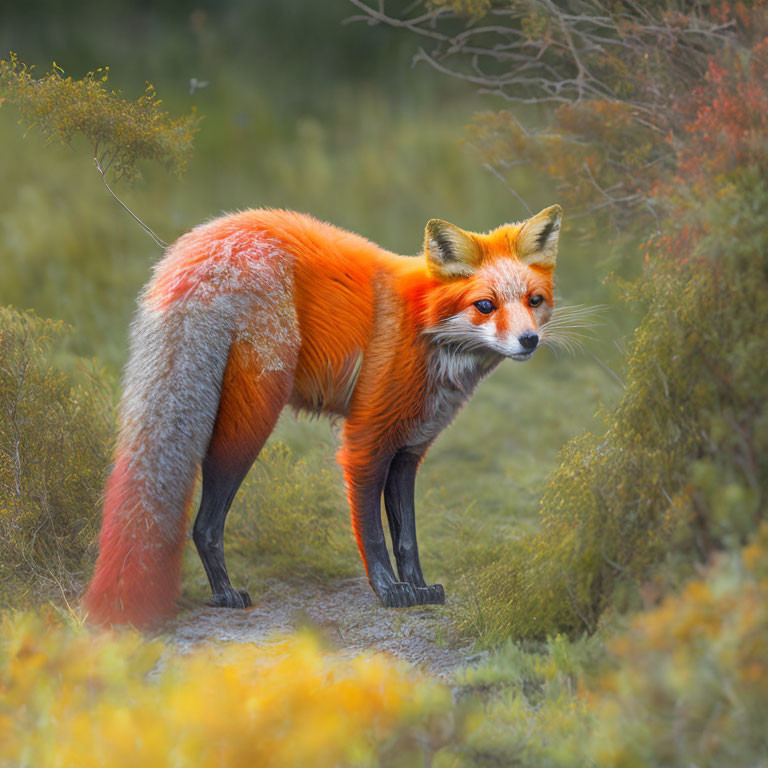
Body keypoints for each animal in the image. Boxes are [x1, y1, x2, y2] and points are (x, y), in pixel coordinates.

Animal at [85, 206, 564, 632]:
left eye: (534, 301)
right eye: (485, 305)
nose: (529, 340)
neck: (423, 329)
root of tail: (207, 241)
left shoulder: (408, 450)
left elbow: (407, 537)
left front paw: (420, 588)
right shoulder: (365, 441)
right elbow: (373, 534)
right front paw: (390, 592)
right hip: (251, 421)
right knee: (204, 525)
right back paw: (224, 595)